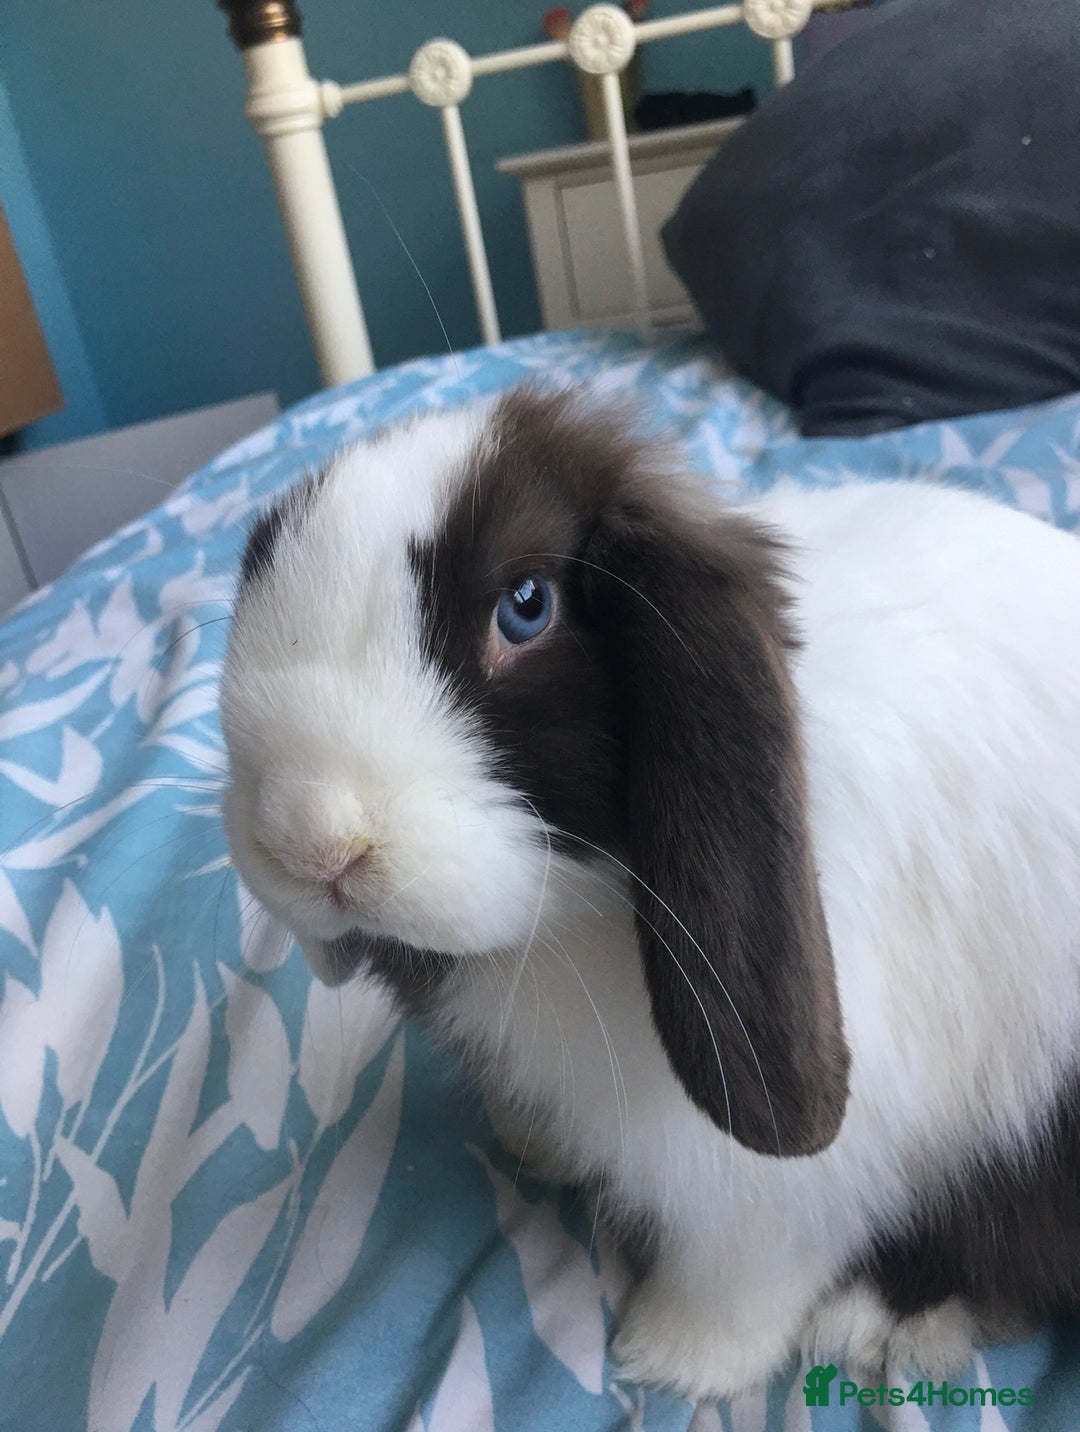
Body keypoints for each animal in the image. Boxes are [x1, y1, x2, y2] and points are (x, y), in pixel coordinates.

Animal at [220, 386, 1080, 1402]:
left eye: (525, 608)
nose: (312, 841)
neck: (566, 919)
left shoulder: (782, 1176)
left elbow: (746, 1264)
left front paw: (671, 1358)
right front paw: (535, 1144)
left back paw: (880, 1325)